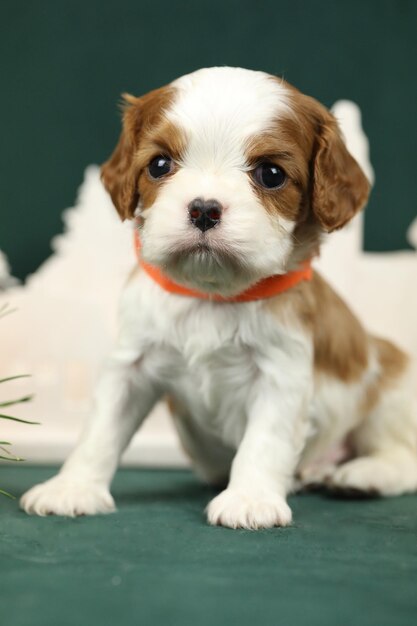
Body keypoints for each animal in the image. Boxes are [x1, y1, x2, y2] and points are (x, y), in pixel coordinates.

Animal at [21, 67, 416, 528]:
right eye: (159, 165)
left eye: (271, 174)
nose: (204, 209)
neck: (211, 293)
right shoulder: (131, 363)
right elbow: (100, 430)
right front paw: (73, 487)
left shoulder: (281, 373)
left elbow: (264, 440)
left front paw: (249, 499)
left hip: (391, 379)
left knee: (403, 457)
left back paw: (362, 474)